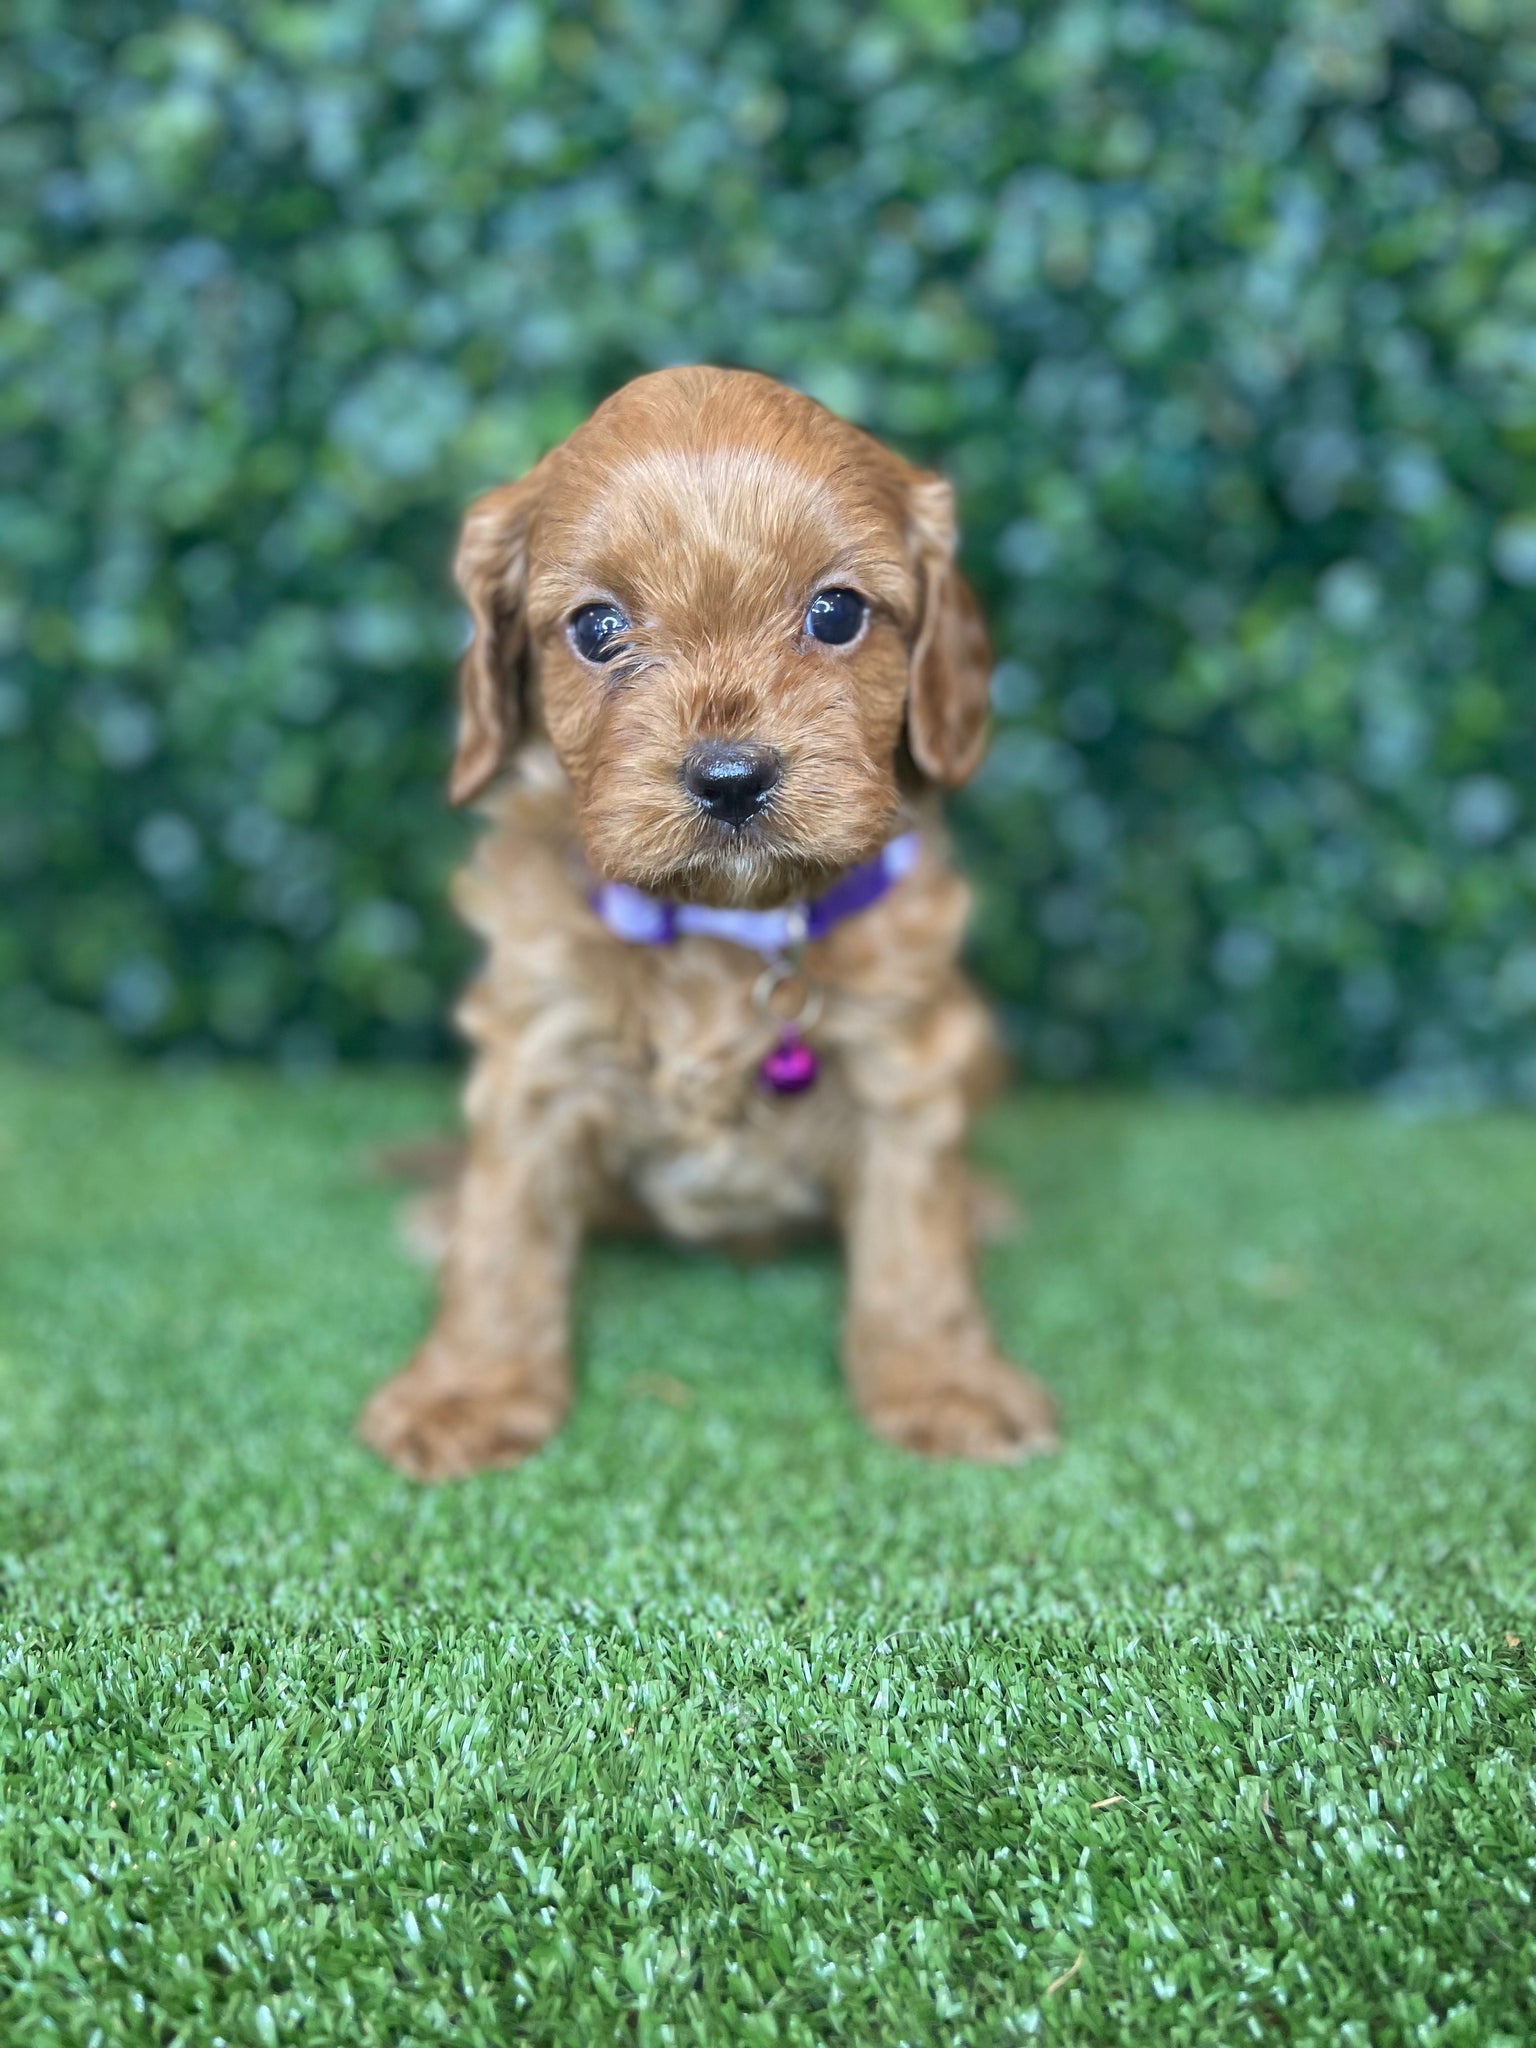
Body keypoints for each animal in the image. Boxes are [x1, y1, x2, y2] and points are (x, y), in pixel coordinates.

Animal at [360, 368, 1056, 1482]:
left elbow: (916, 1241)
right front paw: (469, 1390)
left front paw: (942, 1382)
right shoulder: (536, 1053)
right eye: (598, 627)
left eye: (837, 612)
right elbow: (504, 1235)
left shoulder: (905, 1061)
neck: (728, 929)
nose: (731, 778)